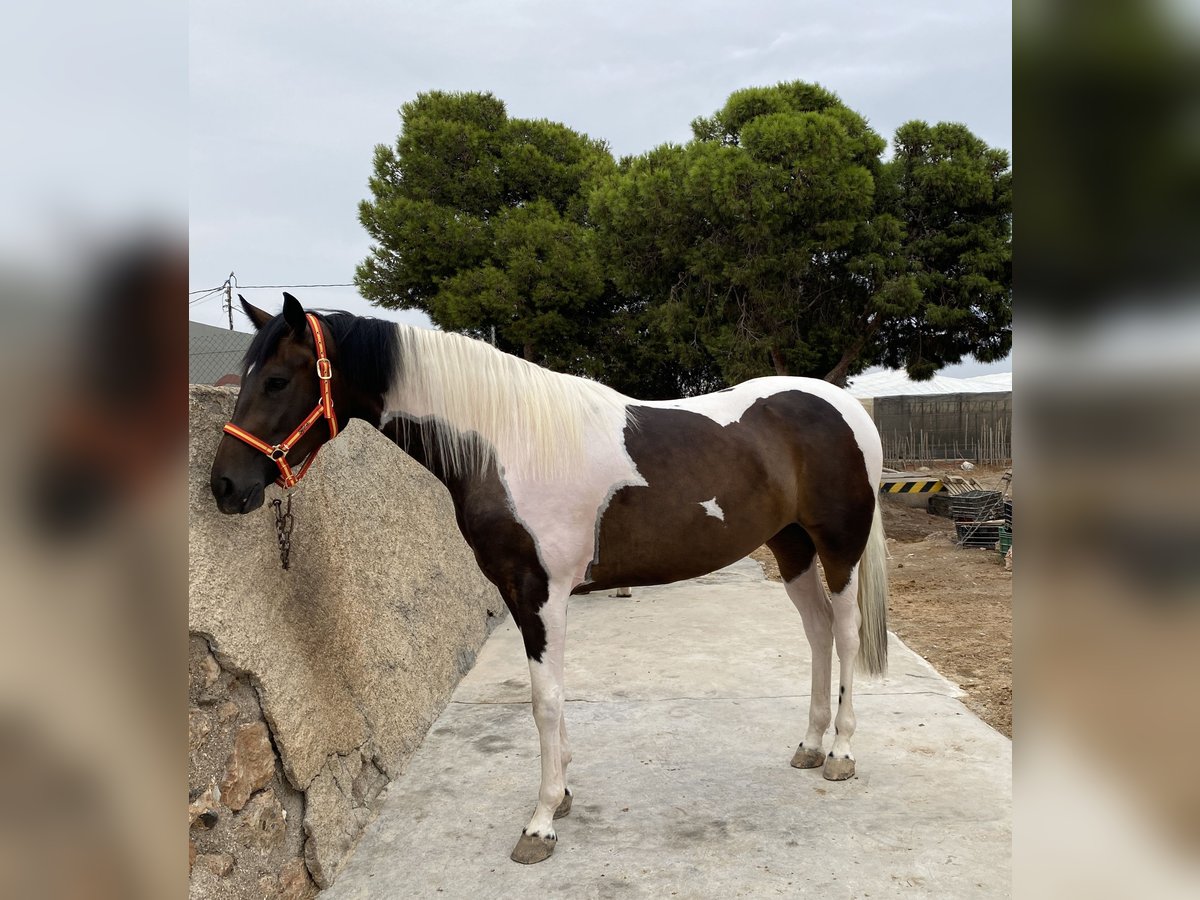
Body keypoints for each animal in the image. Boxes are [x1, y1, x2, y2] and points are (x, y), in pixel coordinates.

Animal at [209, 293, 889, 865]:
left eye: (276, 380)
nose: (224, 486)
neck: (509, 442)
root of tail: (843, 404)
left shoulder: (539, 592)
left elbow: (544, 701)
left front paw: (539, 824)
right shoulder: (524, 595)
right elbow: (552, 695)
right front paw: (560, 794)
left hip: (838, 547)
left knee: (845, 633)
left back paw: (841, 753)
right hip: (791, 545)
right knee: (817, 633)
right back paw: (810, 744)